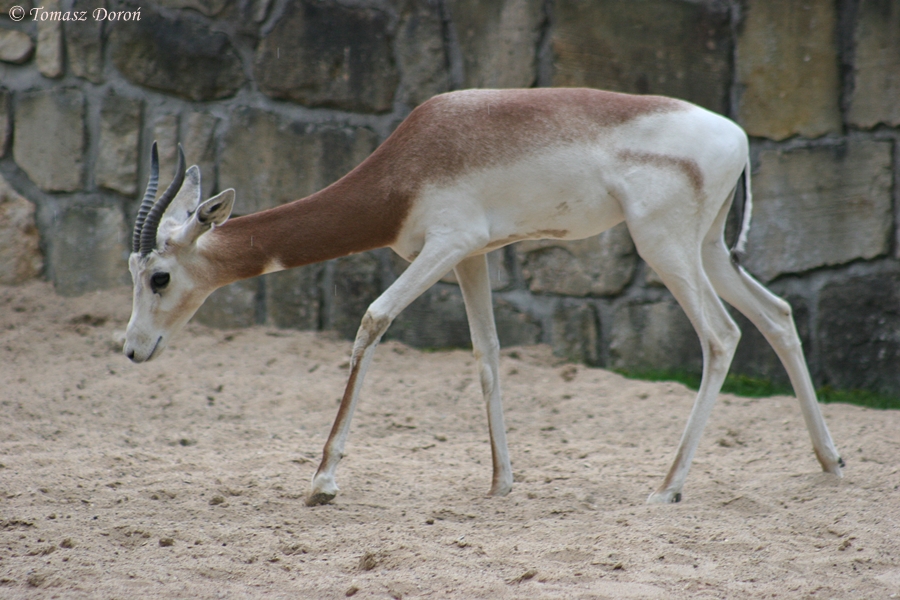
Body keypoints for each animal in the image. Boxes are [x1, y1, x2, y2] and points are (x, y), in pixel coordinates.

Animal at [124, 88, 843, 505]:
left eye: (159, 276)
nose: (132, 350)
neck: (409, 163)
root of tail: (739, 136)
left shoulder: (448, 244)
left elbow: (373, 319)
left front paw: (323, 482)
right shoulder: (472, 256)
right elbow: (487, 354)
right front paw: (501, 481)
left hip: (663, 245)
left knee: (721, 336)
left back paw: (667, 488)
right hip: (709, 249)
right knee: (777, 315)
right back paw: (831, 462)